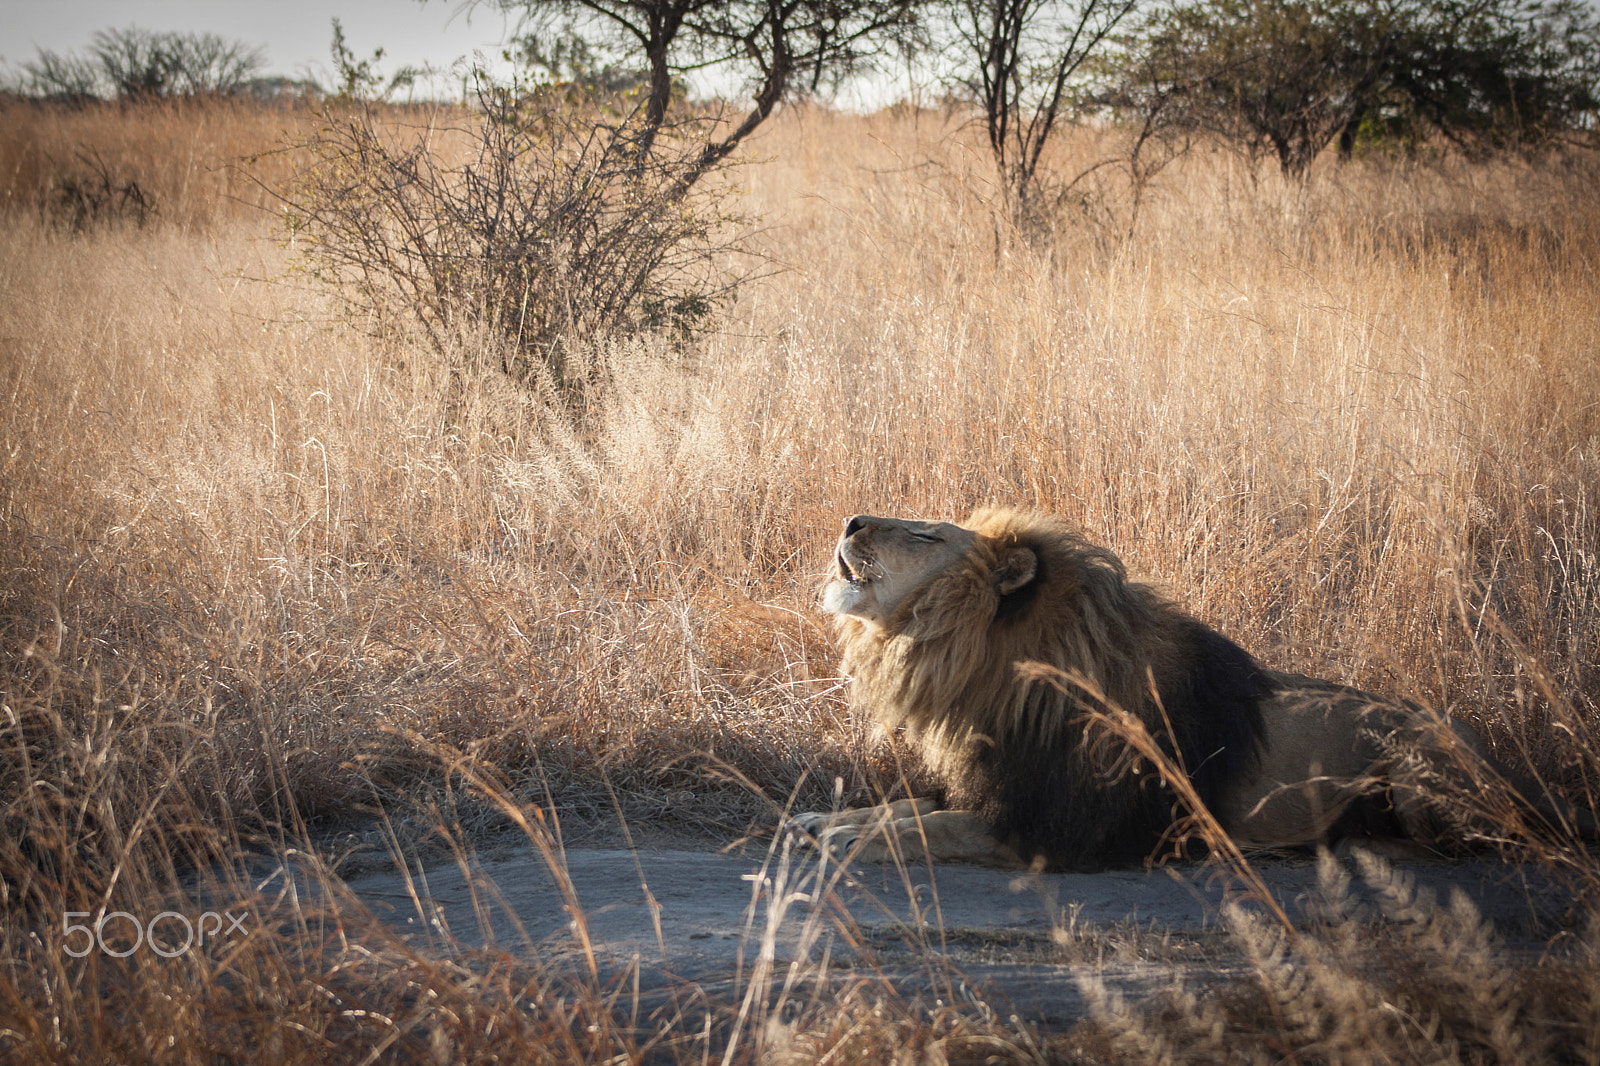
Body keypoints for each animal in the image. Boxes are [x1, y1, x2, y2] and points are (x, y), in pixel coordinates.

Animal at [793, 508, 1594, 871]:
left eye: (927, 536)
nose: (853, 519)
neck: (987, 674)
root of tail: (1508, 773)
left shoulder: (1048, 831)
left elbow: (925, 830)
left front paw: (848, 840)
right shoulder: (988, 786)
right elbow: (910, 805)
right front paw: (821, 822)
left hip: (1417, 762)